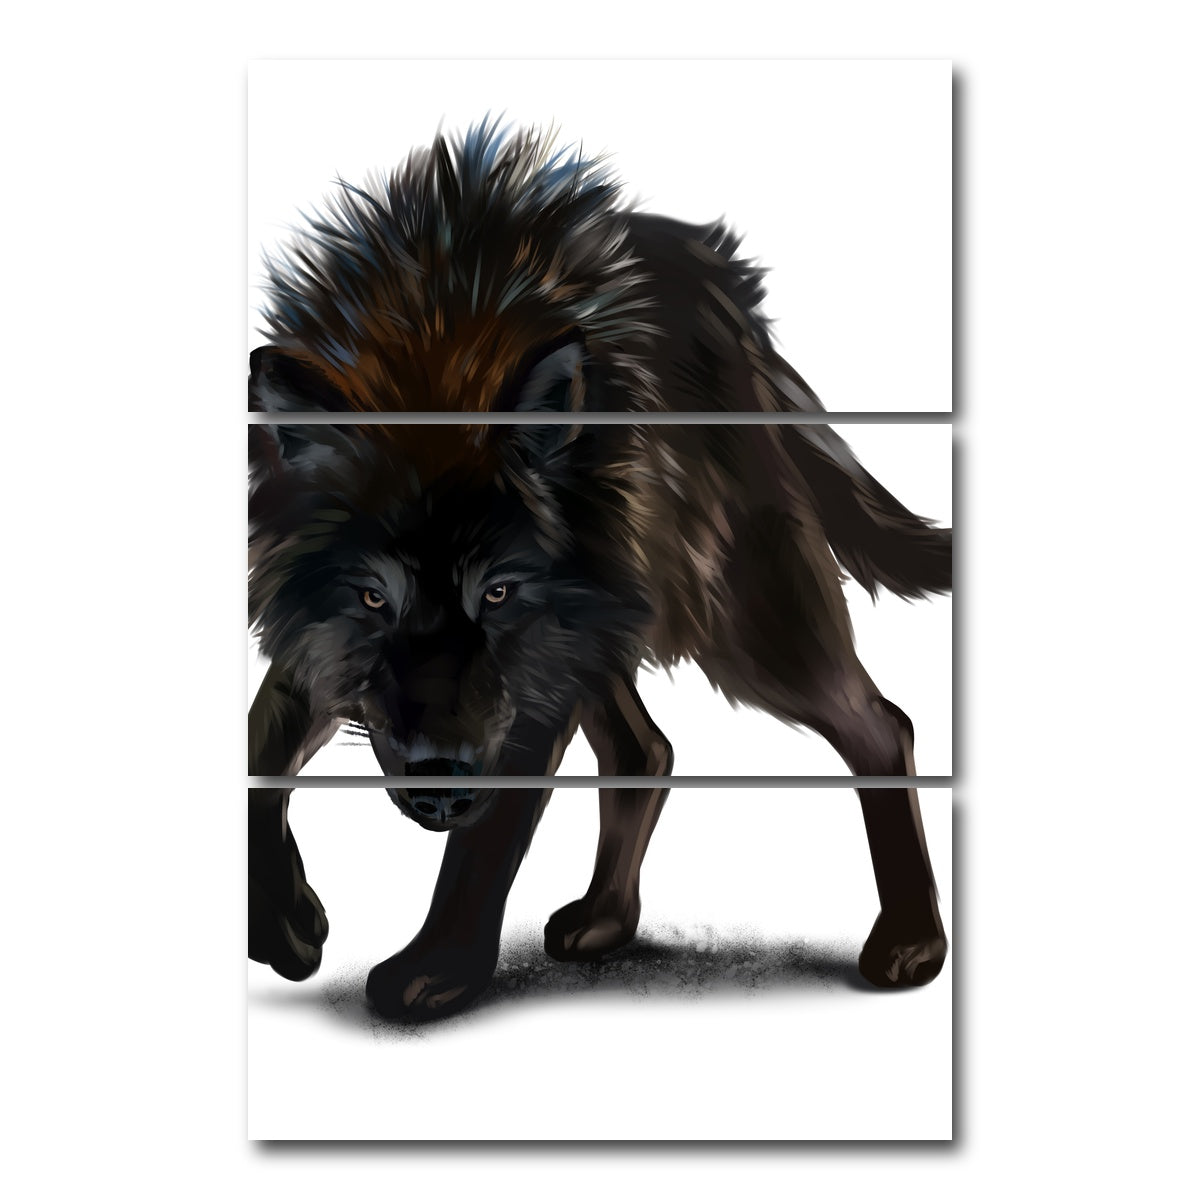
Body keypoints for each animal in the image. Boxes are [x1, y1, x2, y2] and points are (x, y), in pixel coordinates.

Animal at [248, 123, 951, 1021]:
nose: (441, 785)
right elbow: (259, 753)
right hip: (610, 624)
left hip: (740, 621)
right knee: (646, 750)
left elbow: (485, 844)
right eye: (373, 597)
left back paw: (912, 943)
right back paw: (605, 921)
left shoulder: (530, 678)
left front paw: (434, 970)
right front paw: (286, 926)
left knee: (880, 725)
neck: (435, 347)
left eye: (498, 592)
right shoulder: (317, 642)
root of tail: (730, 299)